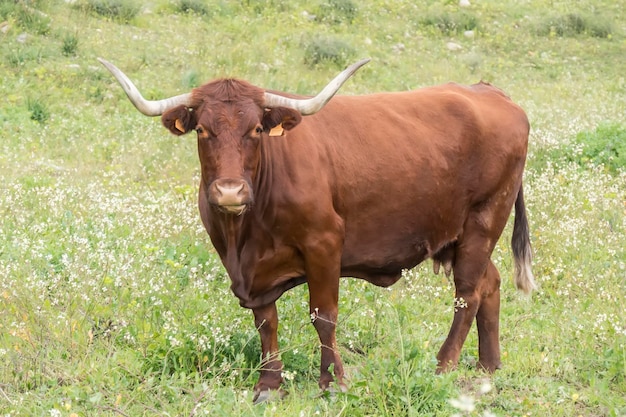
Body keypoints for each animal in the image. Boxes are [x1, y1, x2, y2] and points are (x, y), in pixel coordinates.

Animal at [100, 57, 532, 400]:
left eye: (256, 130)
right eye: (202, 130)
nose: (229, 192)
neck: (246, 235)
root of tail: (491, 92)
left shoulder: (324, 244)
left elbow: (323, 315)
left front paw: (333, 382)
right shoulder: (245, 268)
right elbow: (266, 322)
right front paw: (269, 385)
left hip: (483, 221)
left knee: (467, 293)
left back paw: (444, 365)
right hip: (460, 236)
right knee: (489, 283)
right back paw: (489, 366)